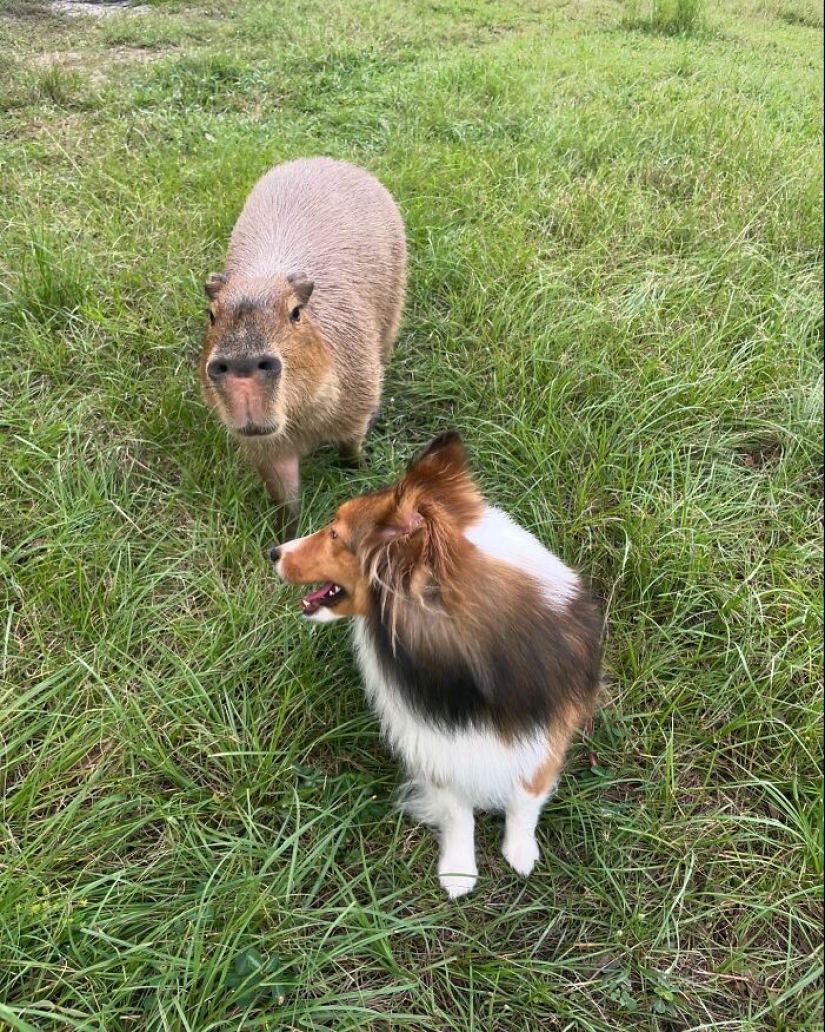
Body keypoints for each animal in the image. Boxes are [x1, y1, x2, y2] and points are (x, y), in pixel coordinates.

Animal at [268, 429, 603, 895]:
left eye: (334, 533)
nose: (273, 551)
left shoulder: (547, 732)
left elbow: (526, 795)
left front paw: (520, 851)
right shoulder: (434, 742)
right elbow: (458, 811)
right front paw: (459, 870)